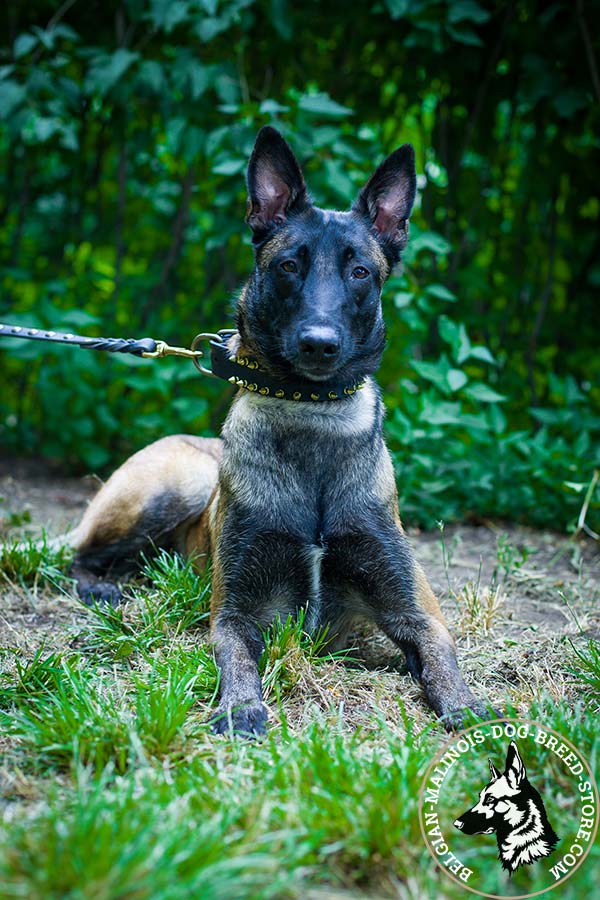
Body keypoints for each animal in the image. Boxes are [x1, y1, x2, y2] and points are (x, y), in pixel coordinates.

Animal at [62, 126, 492, 736]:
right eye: (289, 266)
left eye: (360, 271)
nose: (319, 343)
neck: (309, 412)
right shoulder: (237, 612)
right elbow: (237, 655)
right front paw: (240, 707)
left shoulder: (413, 608)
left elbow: (439, 652)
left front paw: (466, 706)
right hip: (168, 489)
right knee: (81, 554)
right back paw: (102, 586)